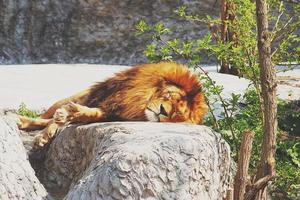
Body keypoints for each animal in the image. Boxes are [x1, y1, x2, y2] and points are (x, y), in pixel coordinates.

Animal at [17, 61, 209, 146]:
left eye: (176, 114)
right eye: (169, 95)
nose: (162, 111)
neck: (136, 101)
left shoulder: (111, 110)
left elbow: (90, 113)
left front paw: (72, 114)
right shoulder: (99, 95)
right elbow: (53, 120)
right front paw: (44, 133)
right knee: (45, 115)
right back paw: (21, 120)